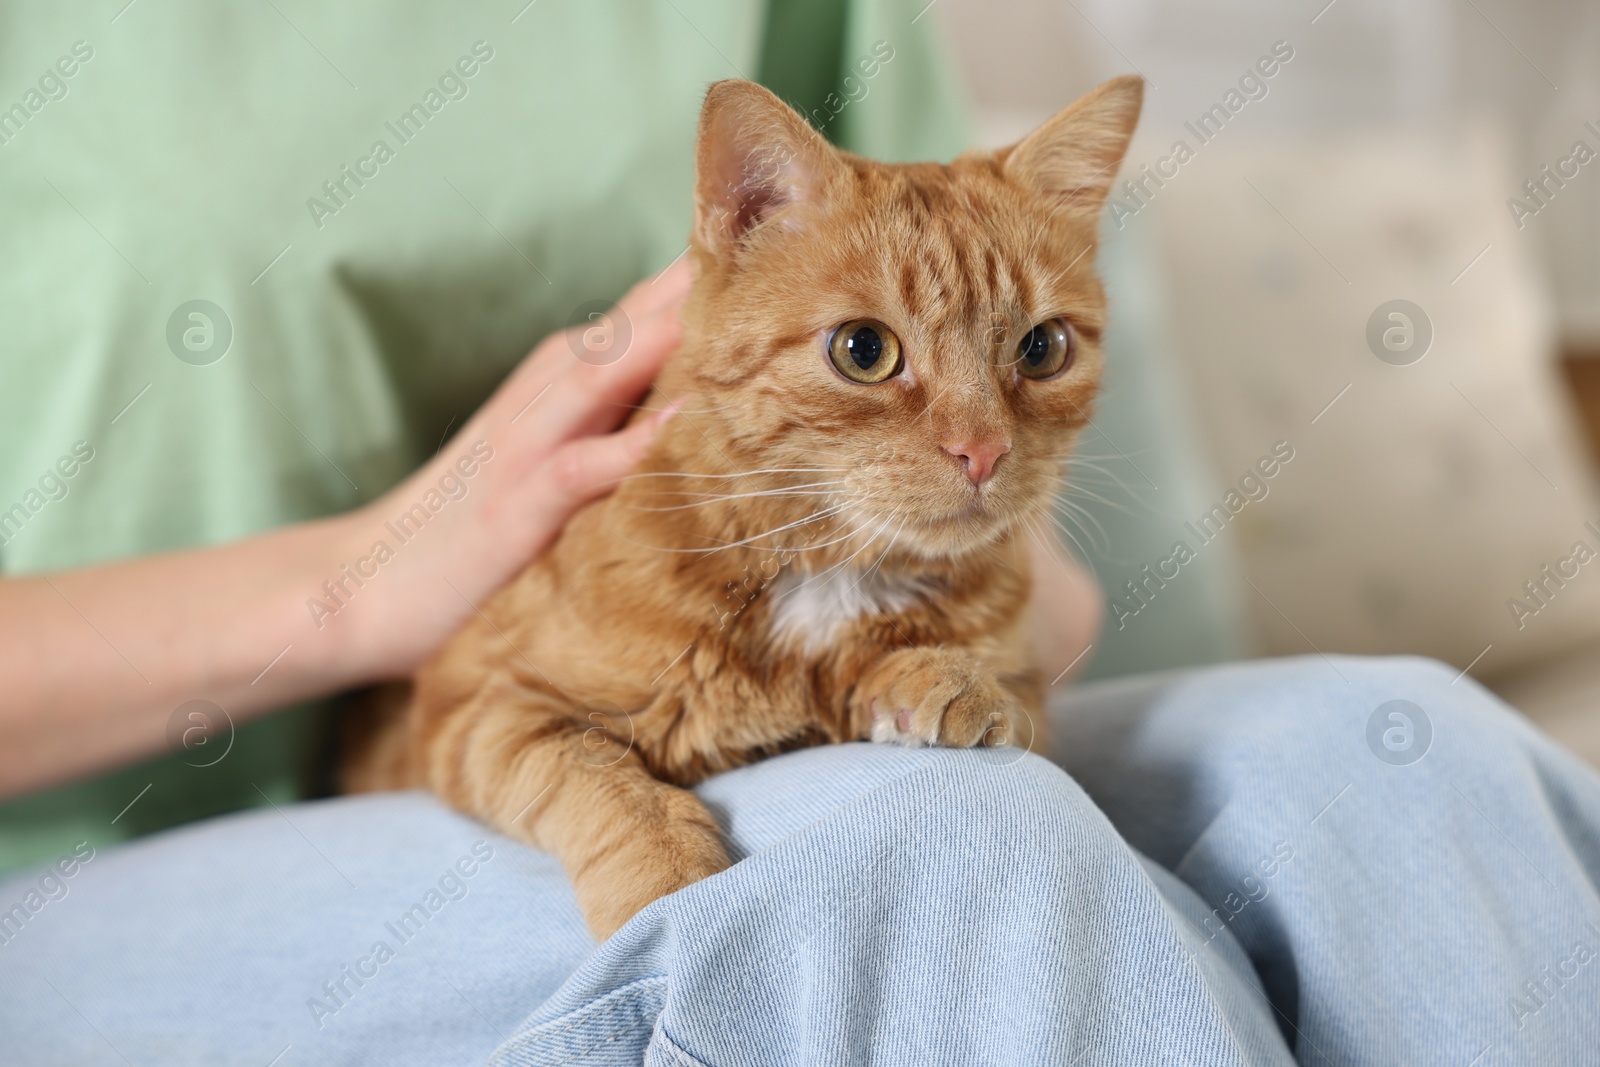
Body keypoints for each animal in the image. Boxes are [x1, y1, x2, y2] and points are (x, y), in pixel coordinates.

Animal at [348, 75, 1145, 940]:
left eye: (1043, 348)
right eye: (865, 350)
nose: (984, 452)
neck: (823, 578)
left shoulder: (1033, 691)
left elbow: (986, 688)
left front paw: (935, 675)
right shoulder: (480, 708)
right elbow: (599, 781)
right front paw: (665, 882)